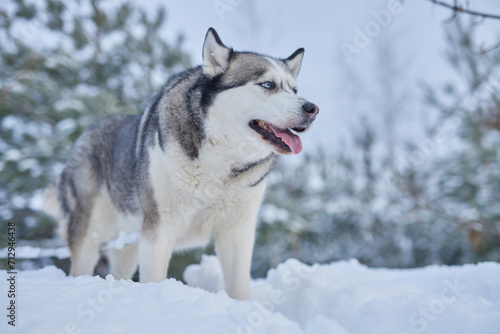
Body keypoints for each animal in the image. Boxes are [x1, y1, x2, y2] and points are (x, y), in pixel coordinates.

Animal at [47, 28, 320, 300]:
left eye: (294, 90)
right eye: (267, 84)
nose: (313, 108)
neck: (220, 162)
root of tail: (83, 136)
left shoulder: (236, 231)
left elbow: (239, 288)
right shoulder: (159, 229)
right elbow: (154, 278)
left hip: (127, 248)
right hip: (90, 237)